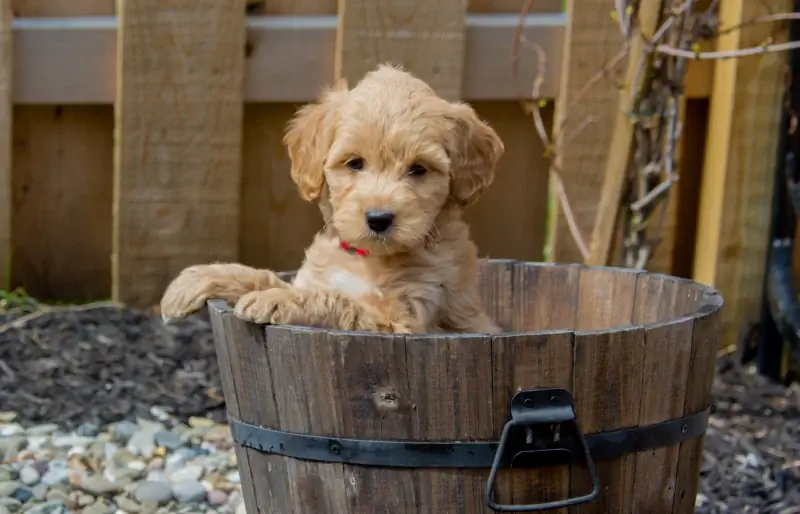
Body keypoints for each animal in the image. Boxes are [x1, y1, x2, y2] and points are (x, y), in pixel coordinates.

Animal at [159, 63, 504, 332]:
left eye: (418, 169)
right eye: (355, 163)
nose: (379, 219)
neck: (367, 258)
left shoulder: (402, 319)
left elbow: (336, 300)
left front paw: (278, 299)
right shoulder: (316, 278)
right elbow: (261, 276)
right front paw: (191, 281)